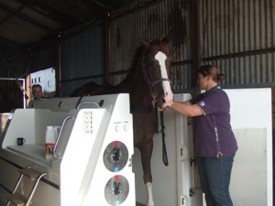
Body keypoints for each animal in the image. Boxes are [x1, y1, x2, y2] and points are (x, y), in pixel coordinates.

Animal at [71, 37, 175, 206]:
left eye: (169, 61)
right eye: (151, 63)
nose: (167, 99)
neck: (136, 106)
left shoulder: (147, 145)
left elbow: (147, 177)